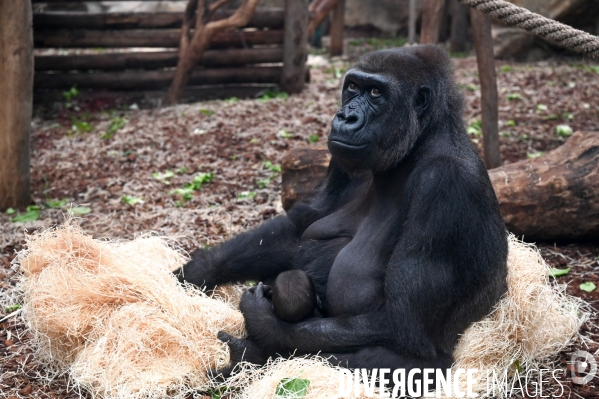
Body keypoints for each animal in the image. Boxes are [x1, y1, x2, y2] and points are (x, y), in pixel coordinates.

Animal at [176, 45, 508, 392]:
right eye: (352, 87)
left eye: (376, 92)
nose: (346, 116)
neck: (413, 149)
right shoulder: (340, 160)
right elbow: (300, 227)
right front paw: (197, 270)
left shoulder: (444, 183)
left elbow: (403, 325)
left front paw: (263, 326)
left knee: (406, 362)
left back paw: (251, 356)